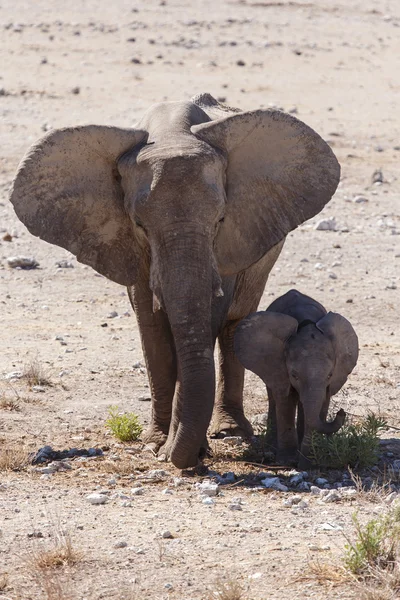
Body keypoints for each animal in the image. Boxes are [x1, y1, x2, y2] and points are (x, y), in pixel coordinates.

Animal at [9, 92, 340, 468]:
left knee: (235, 323)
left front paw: (181, 450)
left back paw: (231, 431)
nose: (171, 453)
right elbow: (151, 326)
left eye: (220, 219)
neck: (170, 132)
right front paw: (156, 443)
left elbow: (207, 317)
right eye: (139, 224)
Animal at [233, 290, 358, 468]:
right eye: (294, 375)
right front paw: (288, 461)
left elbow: (322, 403)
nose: (341, 412)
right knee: (274, 396)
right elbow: (286, 400)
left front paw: (309, 463)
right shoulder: (279, 366)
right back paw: (272, 448)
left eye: (330, 375)